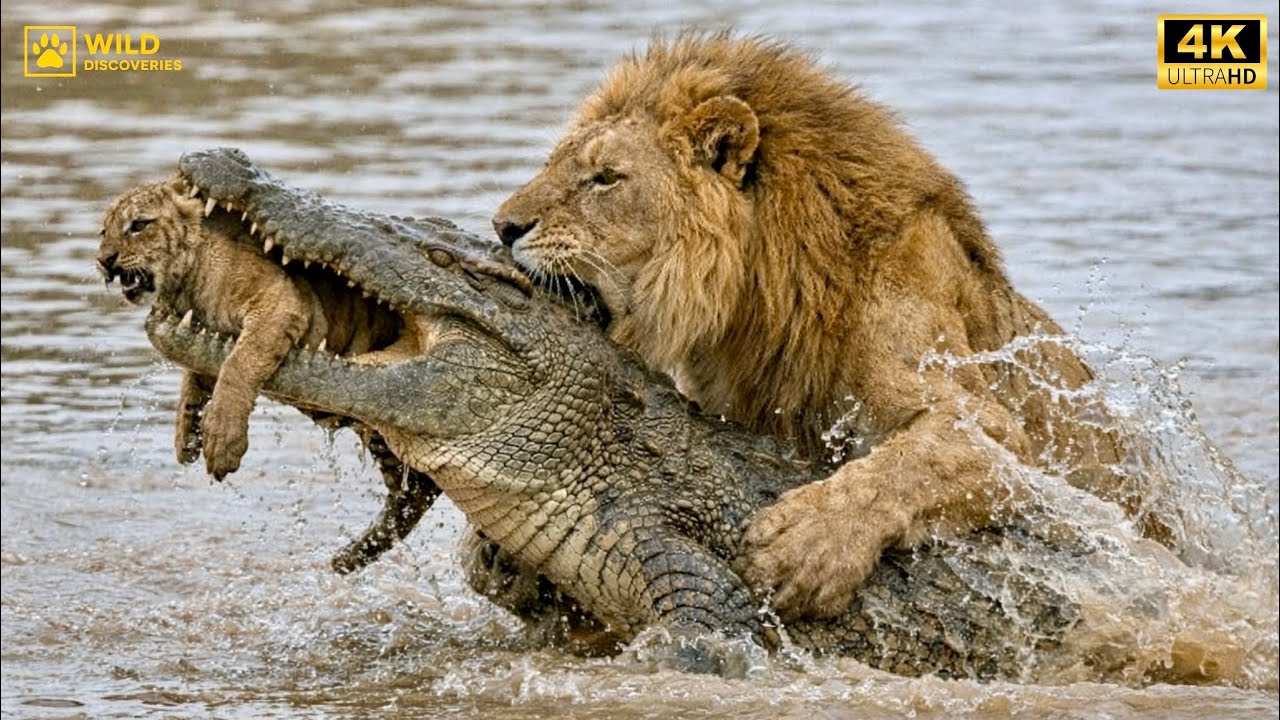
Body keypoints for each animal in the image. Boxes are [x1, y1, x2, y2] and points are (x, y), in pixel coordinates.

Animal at [97, 177, 333, 479]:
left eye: (138, 225)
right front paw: (186, 432)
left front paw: (222, 439)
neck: (185, 282)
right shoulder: (205, 334)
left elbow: (239, 362)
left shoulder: (281, 300)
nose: (103, 260)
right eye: (104, 232)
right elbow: (197, 372)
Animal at [491, 34, 1168, 621]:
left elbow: (903, 465)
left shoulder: (996, 428)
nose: (503, 226)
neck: (762, 295)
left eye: (606, 177)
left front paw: (803, 549)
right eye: (553, 164)